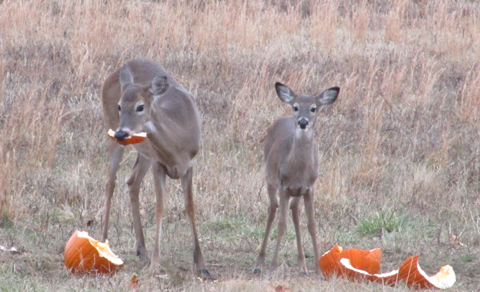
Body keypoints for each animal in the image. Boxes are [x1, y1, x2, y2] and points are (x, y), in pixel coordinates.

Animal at [102, 58, 209, 276]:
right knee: (110, 182)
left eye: (140, 106)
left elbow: (190, 206)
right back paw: (103, 244)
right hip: (114, 134)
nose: (121, 133)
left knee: (131, 181)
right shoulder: (158, 163)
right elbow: (160, 207)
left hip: (145, 152)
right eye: (119, 106)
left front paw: (201, 264)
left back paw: (142, 252)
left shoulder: (189, 164)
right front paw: (155, 263)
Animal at [253, 82, 340, 276]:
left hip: (297, 193)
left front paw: (318, 270)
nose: (302, 122)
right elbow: (281, 224)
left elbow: (312, 225)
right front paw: (273, 266)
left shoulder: (309, 188)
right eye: (296, 107)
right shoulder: (284, 186)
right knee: (272, 210)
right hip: (270, 180)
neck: (298, 171)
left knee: (294, 212)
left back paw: (302, 266)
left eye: (314, 108)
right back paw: (260, 262)